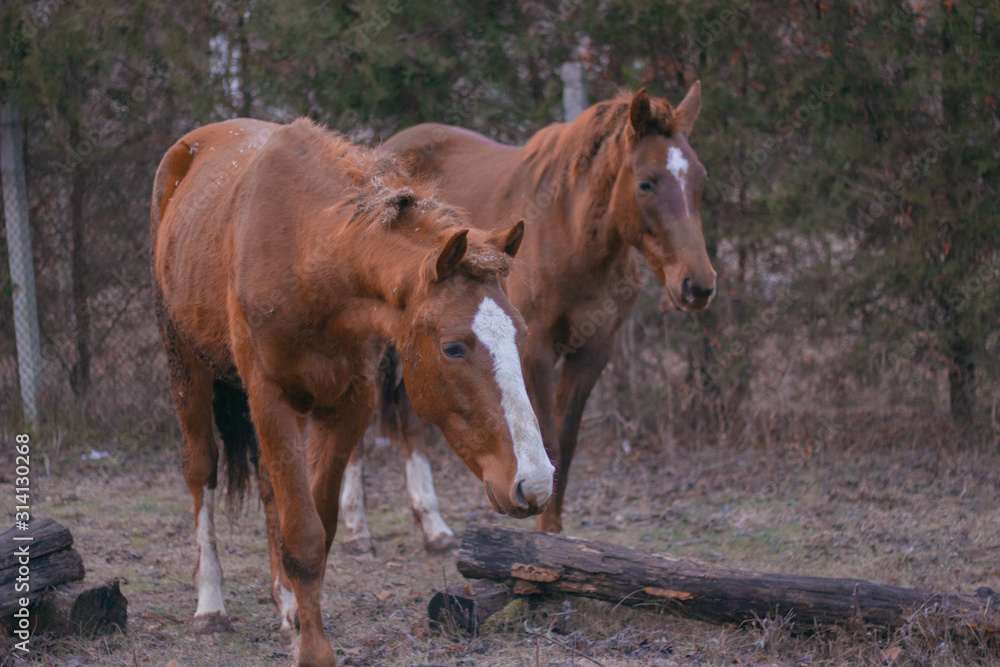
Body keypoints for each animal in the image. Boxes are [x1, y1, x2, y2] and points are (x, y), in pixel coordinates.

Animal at [150, 117, 553, 666]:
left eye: (522, 333)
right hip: (186, 368)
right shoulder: (270, 399)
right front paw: (313, 651)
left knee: (271, 490)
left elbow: (318, 530)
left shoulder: (348, 403)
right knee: (201, 472)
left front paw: (302, 624)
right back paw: (210, 603)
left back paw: (284, 607)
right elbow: (303, 539)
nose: (536, 483)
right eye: (452, 348)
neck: (311, 258)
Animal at [338, 83, 715, 552]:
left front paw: (553, 537)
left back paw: (432, 524)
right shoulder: (536, 350)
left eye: (700, 180)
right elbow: (548, 438)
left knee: (408, 416)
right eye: (645, 182)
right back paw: (357, 526)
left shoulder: (593, 353)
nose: (698, 284)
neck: (570, 237)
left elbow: (565, 444)